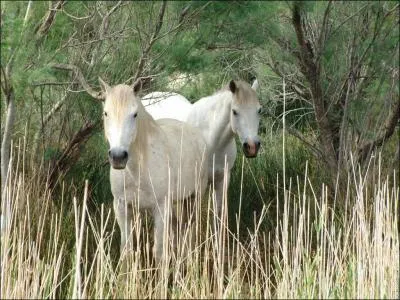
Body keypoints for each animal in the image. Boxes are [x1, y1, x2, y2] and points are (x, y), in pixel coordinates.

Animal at [100, 78, 208, 264]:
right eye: (106, 113)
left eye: (134, 114)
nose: (118, 156)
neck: (136, 171)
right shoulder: (121, 207)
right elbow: (127, 250)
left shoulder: (161, 208)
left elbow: (158, 252)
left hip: (194, 197)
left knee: (189, 231)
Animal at [142, 79, 260, 216]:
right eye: (235, 111)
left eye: (259, 110)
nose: (252, 146)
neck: (211, 141)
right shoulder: (196, 187)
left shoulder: (222, 180)